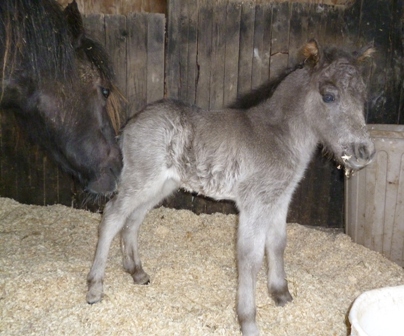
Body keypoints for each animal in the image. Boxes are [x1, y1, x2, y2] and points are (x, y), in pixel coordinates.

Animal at [87, 40, 374, 334]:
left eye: (363, 96)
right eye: (329, 96)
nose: (364, 152)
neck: (278, 136)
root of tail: (131, 124)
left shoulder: (280, 199)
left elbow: (277, 243)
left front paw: (281, 294)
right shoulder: (254, 204)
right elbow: (250, 257)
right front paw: (248, 321)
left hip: (160, 186)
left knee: (132, 221)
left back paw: (136, 271)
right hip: (141, 179)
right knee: (112, 216)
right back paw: (95, 288)